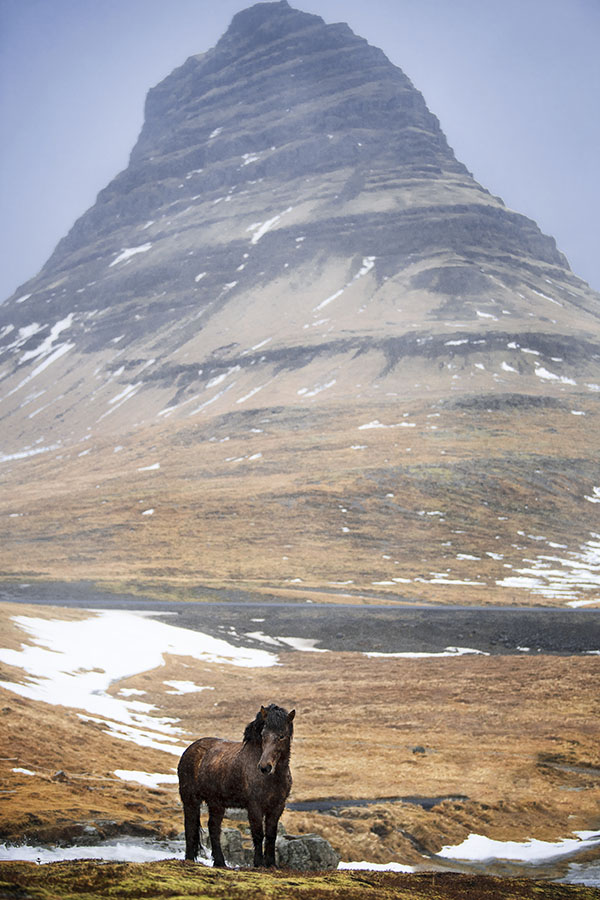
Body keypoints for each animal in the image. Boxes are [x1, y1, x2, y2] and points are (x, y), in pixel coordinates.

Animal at [177, 704, 296, 864]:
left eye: (282, 736)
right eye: (263, 735)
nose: (265, 767)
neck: (272, 779)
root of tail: (190, 749)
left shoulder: (277, 806)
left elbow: (271, 835)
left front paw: (271, 864)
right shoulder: (254, 806)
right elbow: (258, 834)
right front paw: (258, 863)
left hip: (216, 803)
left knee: (213, 828)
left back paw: (220, 862)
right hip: (190, 799)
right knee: (190, 826)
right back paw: (190, 859)